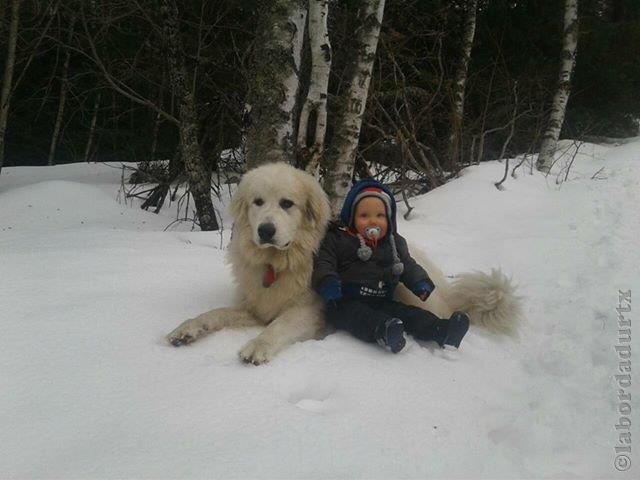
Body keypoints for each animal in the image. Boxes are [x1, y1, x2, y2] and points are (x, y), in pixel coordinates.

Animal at [168, 161, 524, 364]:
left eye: (286, 204)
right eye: (258, 202)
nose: (265, 231)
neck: (281, 262)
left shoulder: (308, 311)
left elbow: (278, 326)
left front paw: (258, 346)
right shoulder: (257, 306)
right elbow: (214, 314)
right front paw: (186, 330)